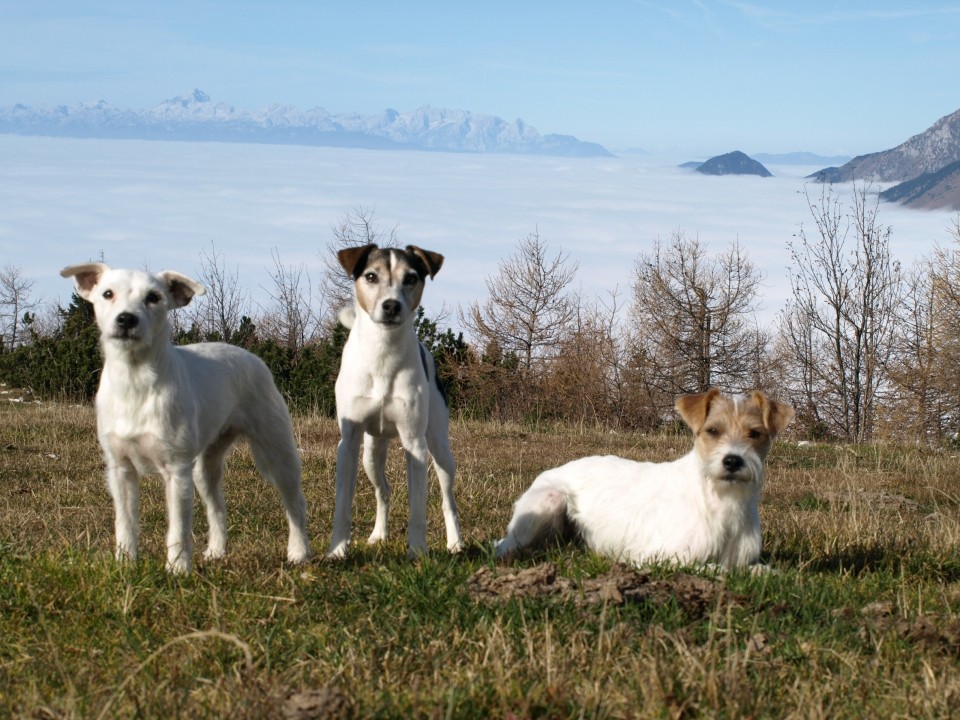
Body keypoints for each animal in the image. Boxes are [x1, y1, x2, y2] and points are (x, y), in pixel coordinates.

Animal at [58, 262, 312, 572]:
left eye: (153, 297)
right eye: (107, 293)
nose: (127, 319)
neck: (135, 381)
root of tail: (254, 358)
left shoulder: (176, 470)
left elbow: (178, 529)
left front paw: (177, 569)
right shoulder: (120, 470)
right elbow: (125, 523)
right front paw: (125, 564)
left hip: (277, 453)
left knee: (295, 503)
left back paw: (299, 552)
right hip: (204, 468)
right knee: (217, 508)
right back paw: (216, 551)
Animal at [328, 245, 464, 560]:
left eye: (411, 278)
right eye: (371, 276)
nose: (391, 305)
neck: (382, 353)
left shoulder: (414, 443)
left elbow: (418, 509)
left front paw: (418, 552)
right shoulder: (348, 442)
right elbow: (342, 505)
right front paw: (338, 549)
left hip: (440, 448)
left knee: (447, 499)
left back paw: (455, 542)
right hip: (370, 452)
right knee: (384, 491)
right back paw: (378, 535)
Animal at [496, 390, 796, 572]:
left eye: (755, 433)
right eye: (713, 430)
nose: (733, 461)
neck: (720, 499)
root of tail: (550, 471)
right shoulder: (661, 558)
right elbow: (716, 569)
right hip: (548, 501)